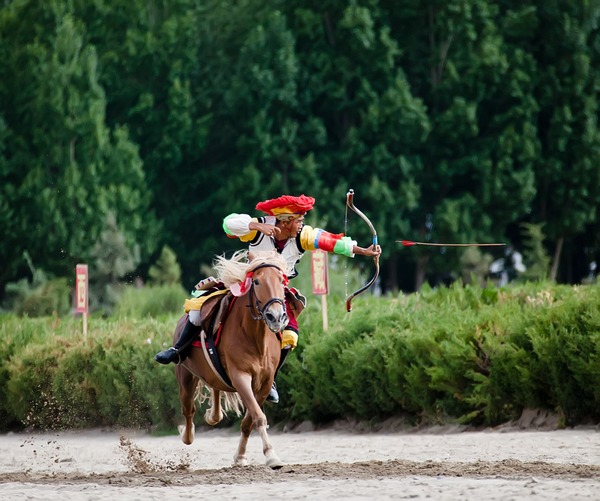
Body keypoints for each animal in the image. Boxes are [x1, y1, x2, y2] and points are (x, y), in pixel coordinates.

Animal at [173, 250, 288, 468]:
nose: (276, 317)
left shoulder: (265, 383)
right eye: (257, 282)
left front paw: (241, 456)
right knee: (188, 409)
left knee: (214, 390)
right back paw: (187, 434)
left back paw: (212, 415)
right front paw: (271, 455)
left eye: (281, 281)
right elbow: (258, 417)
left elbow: (249, 421)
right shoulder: (240, 376)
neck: (254, 337)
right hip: (185, 376)